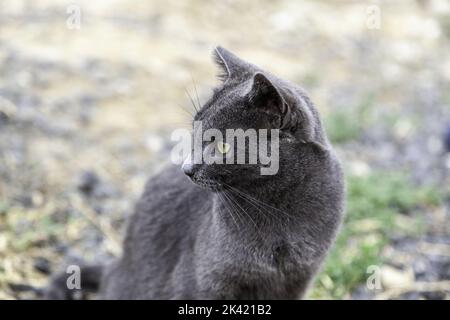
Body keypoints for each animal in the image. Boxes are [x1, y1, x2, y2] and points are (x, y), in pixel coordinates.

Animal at [44, 47, 344, 300]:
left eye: (222, 145)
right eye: (196, 132)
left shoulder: (297, 280)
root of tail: (115, 266)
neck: (277, 209)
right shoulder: (203, 284)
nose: (186, 168)